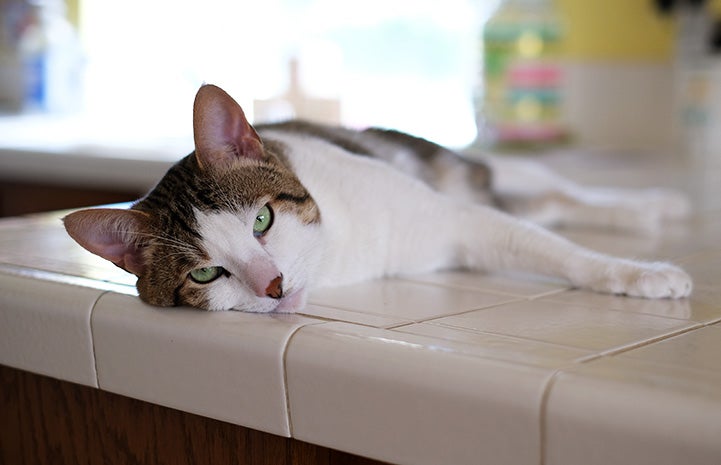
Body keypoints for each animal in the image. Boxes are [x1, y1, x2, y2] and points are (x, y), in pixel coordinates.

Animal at [62, 84, 692, 312]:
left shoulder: (459, 218)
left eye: (262, 220)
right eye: (205, 275)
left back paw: (651, 205)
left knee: (562, 191)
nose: (273, 286)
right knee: (547, 204)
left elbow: (565, 254)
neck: (339, 251)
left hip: (468, 167)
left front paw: (638, 274)